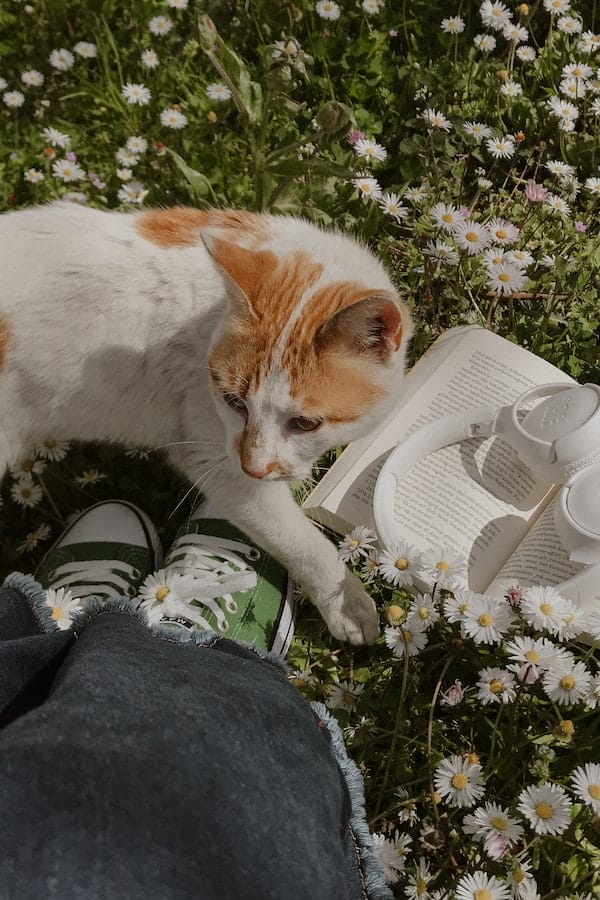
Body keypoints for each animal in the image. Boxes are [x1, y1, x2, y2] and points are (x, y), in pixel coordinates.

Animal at [0, 203, 410, 644]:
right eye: (233, 402)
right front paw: (344, 601)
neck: (209, 315)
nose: (254, 467)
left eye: (304, 423)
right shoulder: (214, 460)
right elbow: (299, 540)